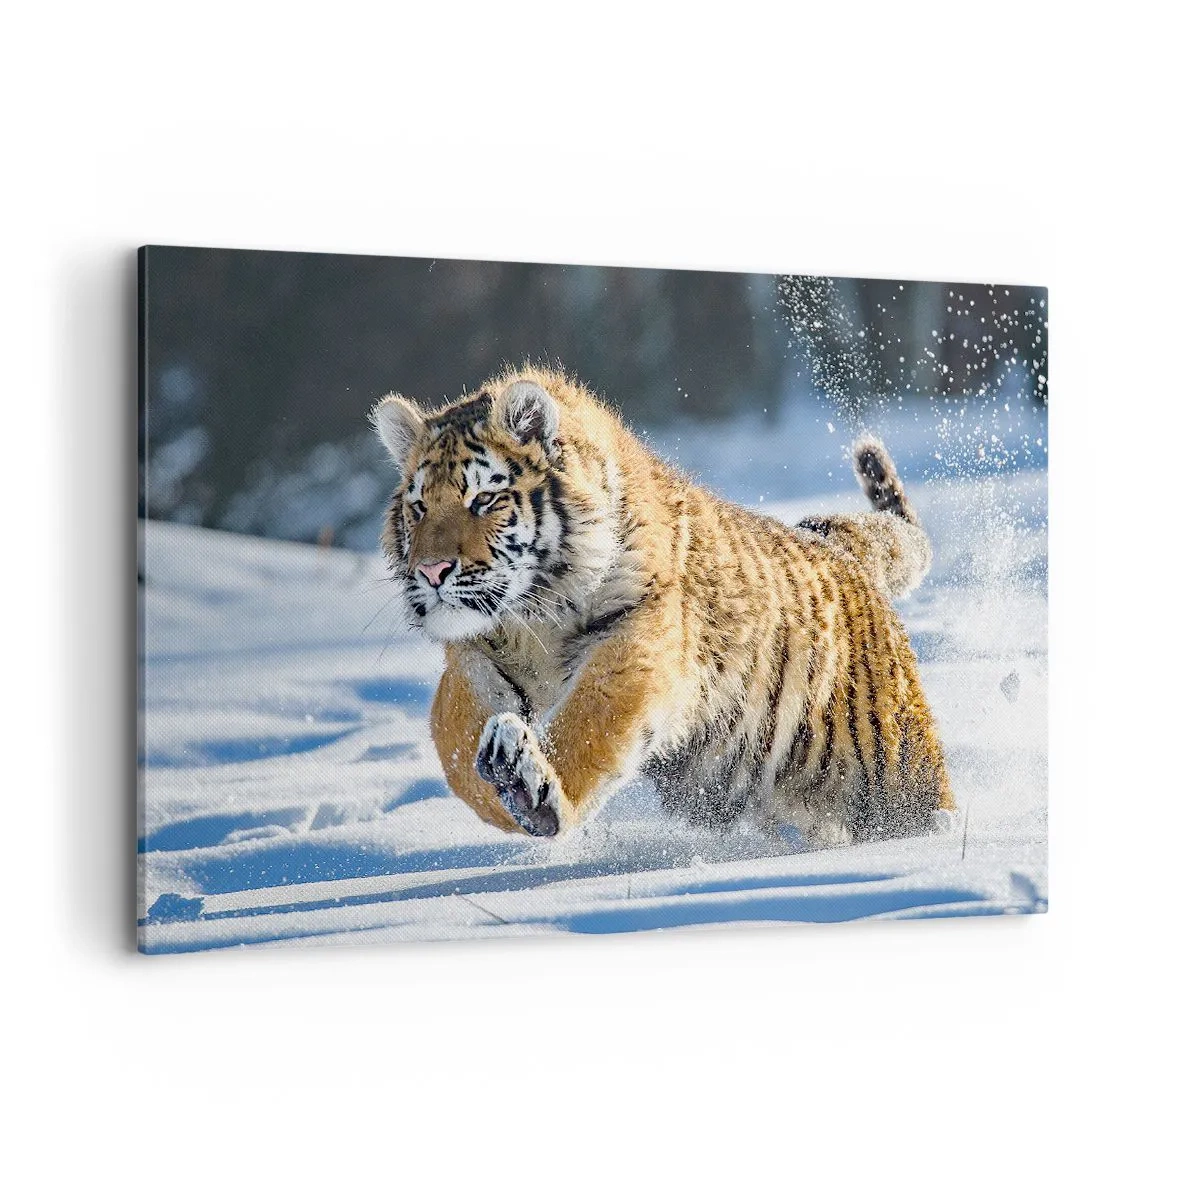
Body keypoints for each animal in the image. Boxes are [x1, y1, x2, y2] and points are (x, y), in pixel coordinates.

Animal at [371, 365, 953, 846]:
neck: (531, 617)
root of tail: (839, 547)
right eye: (418, 506)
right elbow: (456, 743)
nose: (431, 572)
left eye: (484, 499)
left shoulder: (637, 639)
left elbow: (589, 723)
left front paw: (532, 789)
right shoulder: (471, 657)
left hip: (897, 771)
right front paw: (501, 785)